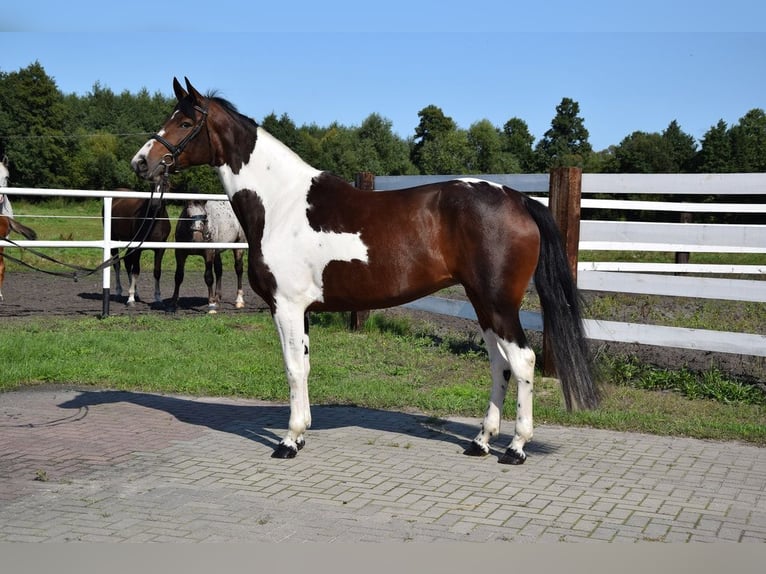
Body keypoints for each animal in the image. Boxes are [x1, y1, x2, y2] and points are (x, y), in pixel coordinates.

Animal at [131, 77, 599, 464]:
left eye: (185, 121)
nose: (141, 163)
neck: (280, 203)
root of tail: (519, 199)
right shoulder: (302, 311)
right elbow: (305, 366)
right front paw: (301, 434)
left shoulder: (286, 307)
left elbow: (291, 368)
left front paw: (288, 441)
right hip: (483, 303)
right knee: (498, 363)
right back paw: (481, 441)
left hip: (499, 304)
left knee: (522, 361)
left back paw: (516, 448)